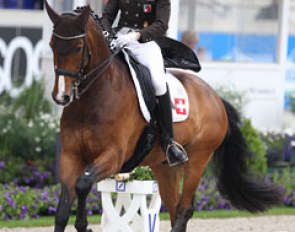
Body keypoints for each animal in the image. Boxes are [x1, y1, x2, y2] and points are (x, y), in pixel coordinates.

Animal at [45, 2, 284, 232]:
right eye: (51, 45)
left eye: (78, 47)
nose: (61, 96)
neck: (93, 98)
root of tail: (215, 97)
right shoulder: (70, 156)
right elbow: (63, 209)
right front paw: (79, 222)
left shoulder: (114, 156)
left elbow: (82, 185)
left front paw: (83, 225)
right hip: (163, 167)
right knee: (174, 207)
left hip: (198, 159)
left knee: (184, 209)